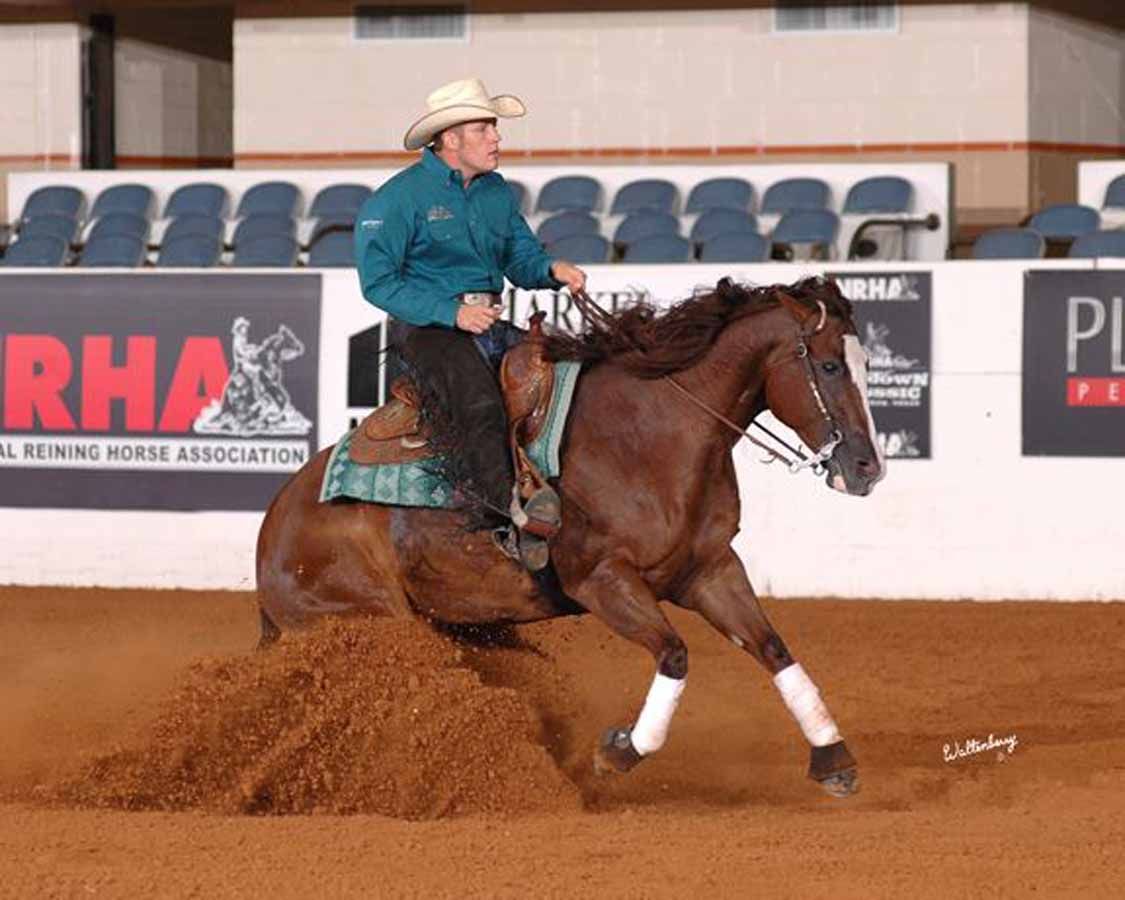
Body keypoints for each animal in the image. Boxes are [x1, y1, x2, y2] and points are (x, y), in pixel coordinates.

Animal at [255, 276, 885, 796]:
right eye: (831, 367)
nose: (867, 469)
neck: (649, 435)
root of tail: (274, 531)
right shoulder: (602, 581)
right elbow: (676, 655)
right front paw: (618, 752)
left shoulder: (709, 570)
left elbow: (773, 649)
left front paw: (832, 757)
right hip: (368, 624)